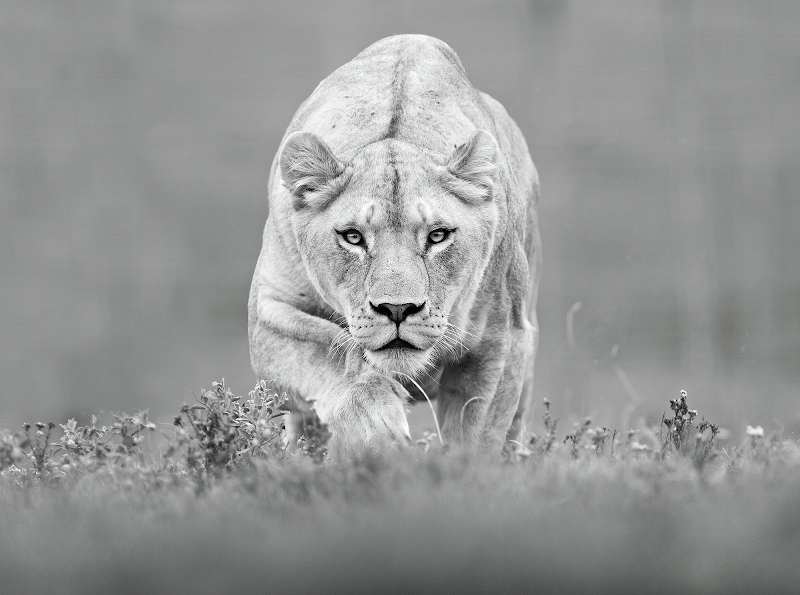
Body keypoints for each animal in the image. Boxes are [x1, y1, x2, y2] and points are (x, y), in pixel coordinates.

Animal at [248, 34, 541, 455]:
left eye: (437, 235)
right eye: (353, 236)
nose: (398, 309)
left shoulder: (501, 338)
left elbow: (476, 438)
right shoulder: (269, 312)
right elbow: (332, 350)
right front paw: (377, 426)